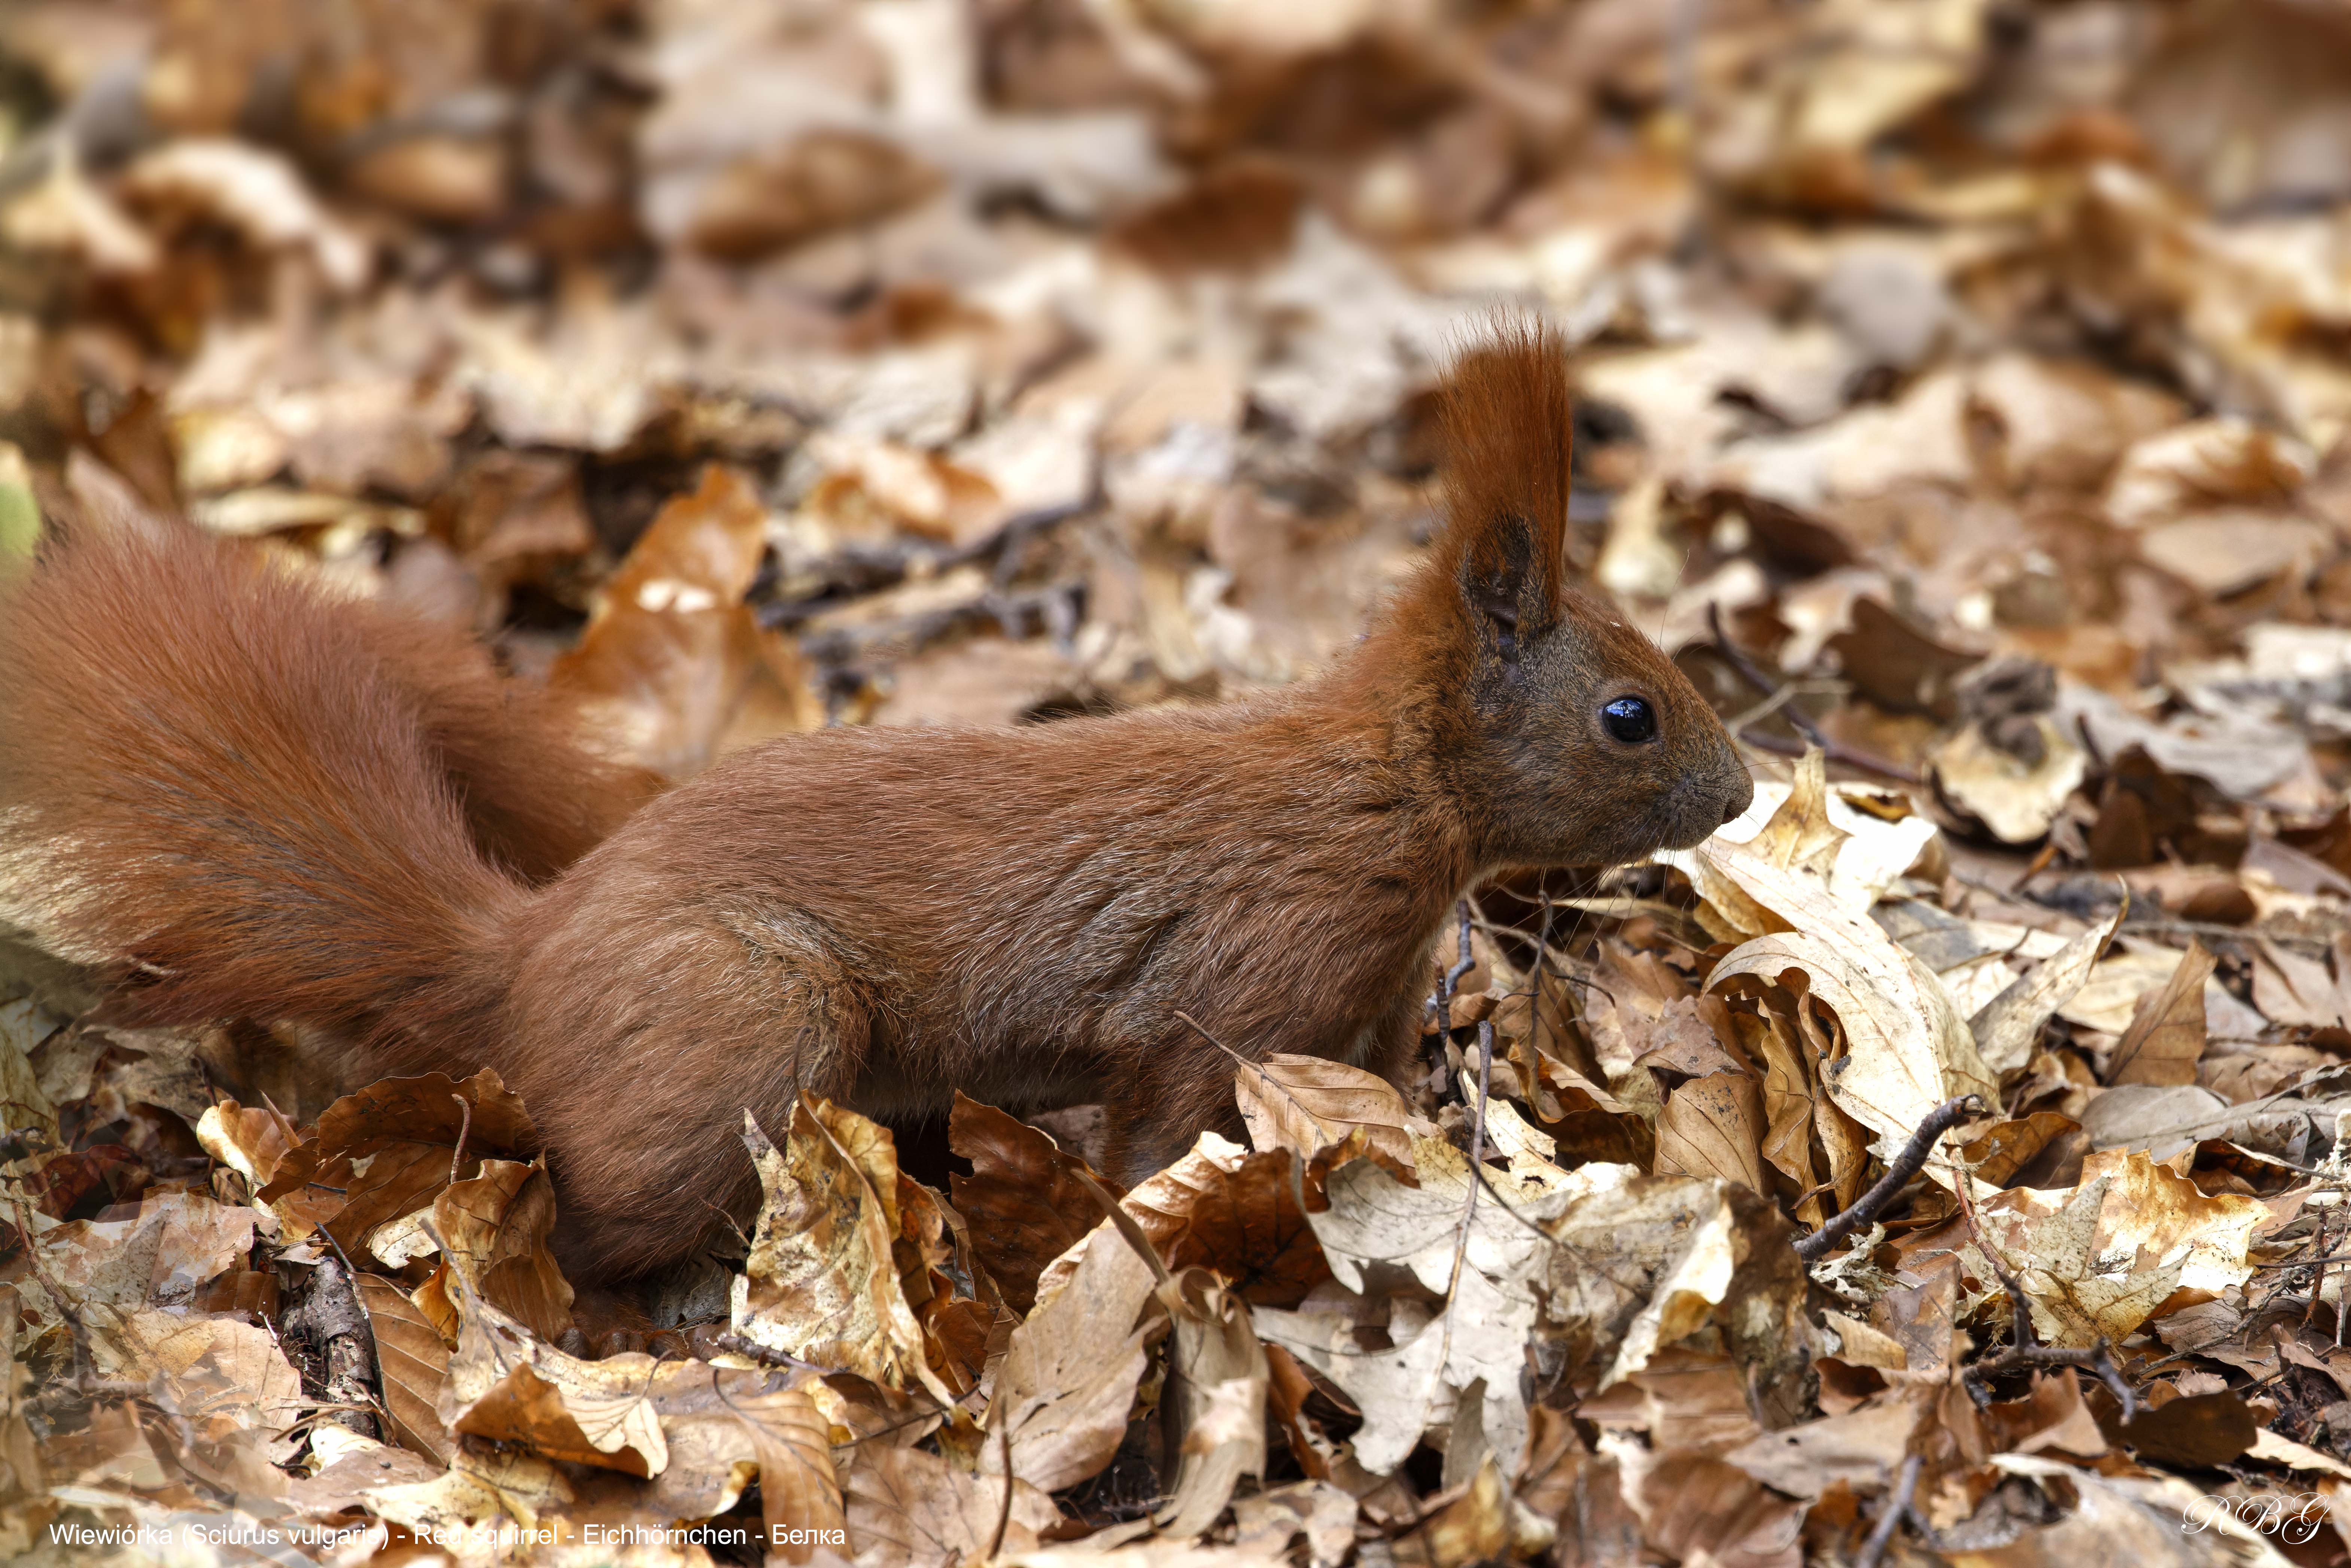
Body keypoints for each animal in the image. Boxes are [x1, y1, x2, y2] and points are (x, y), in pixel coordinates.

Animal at [0, 324, 1753, 1283]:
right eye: (1627, 713)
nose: (1738, 791)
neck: (1386, 793)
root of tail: (531, 954)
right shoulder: (1244, 977)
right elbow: (1166, 1136)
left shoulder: (1367, 1000)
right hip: (750, 1016)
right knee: (597, 1222)